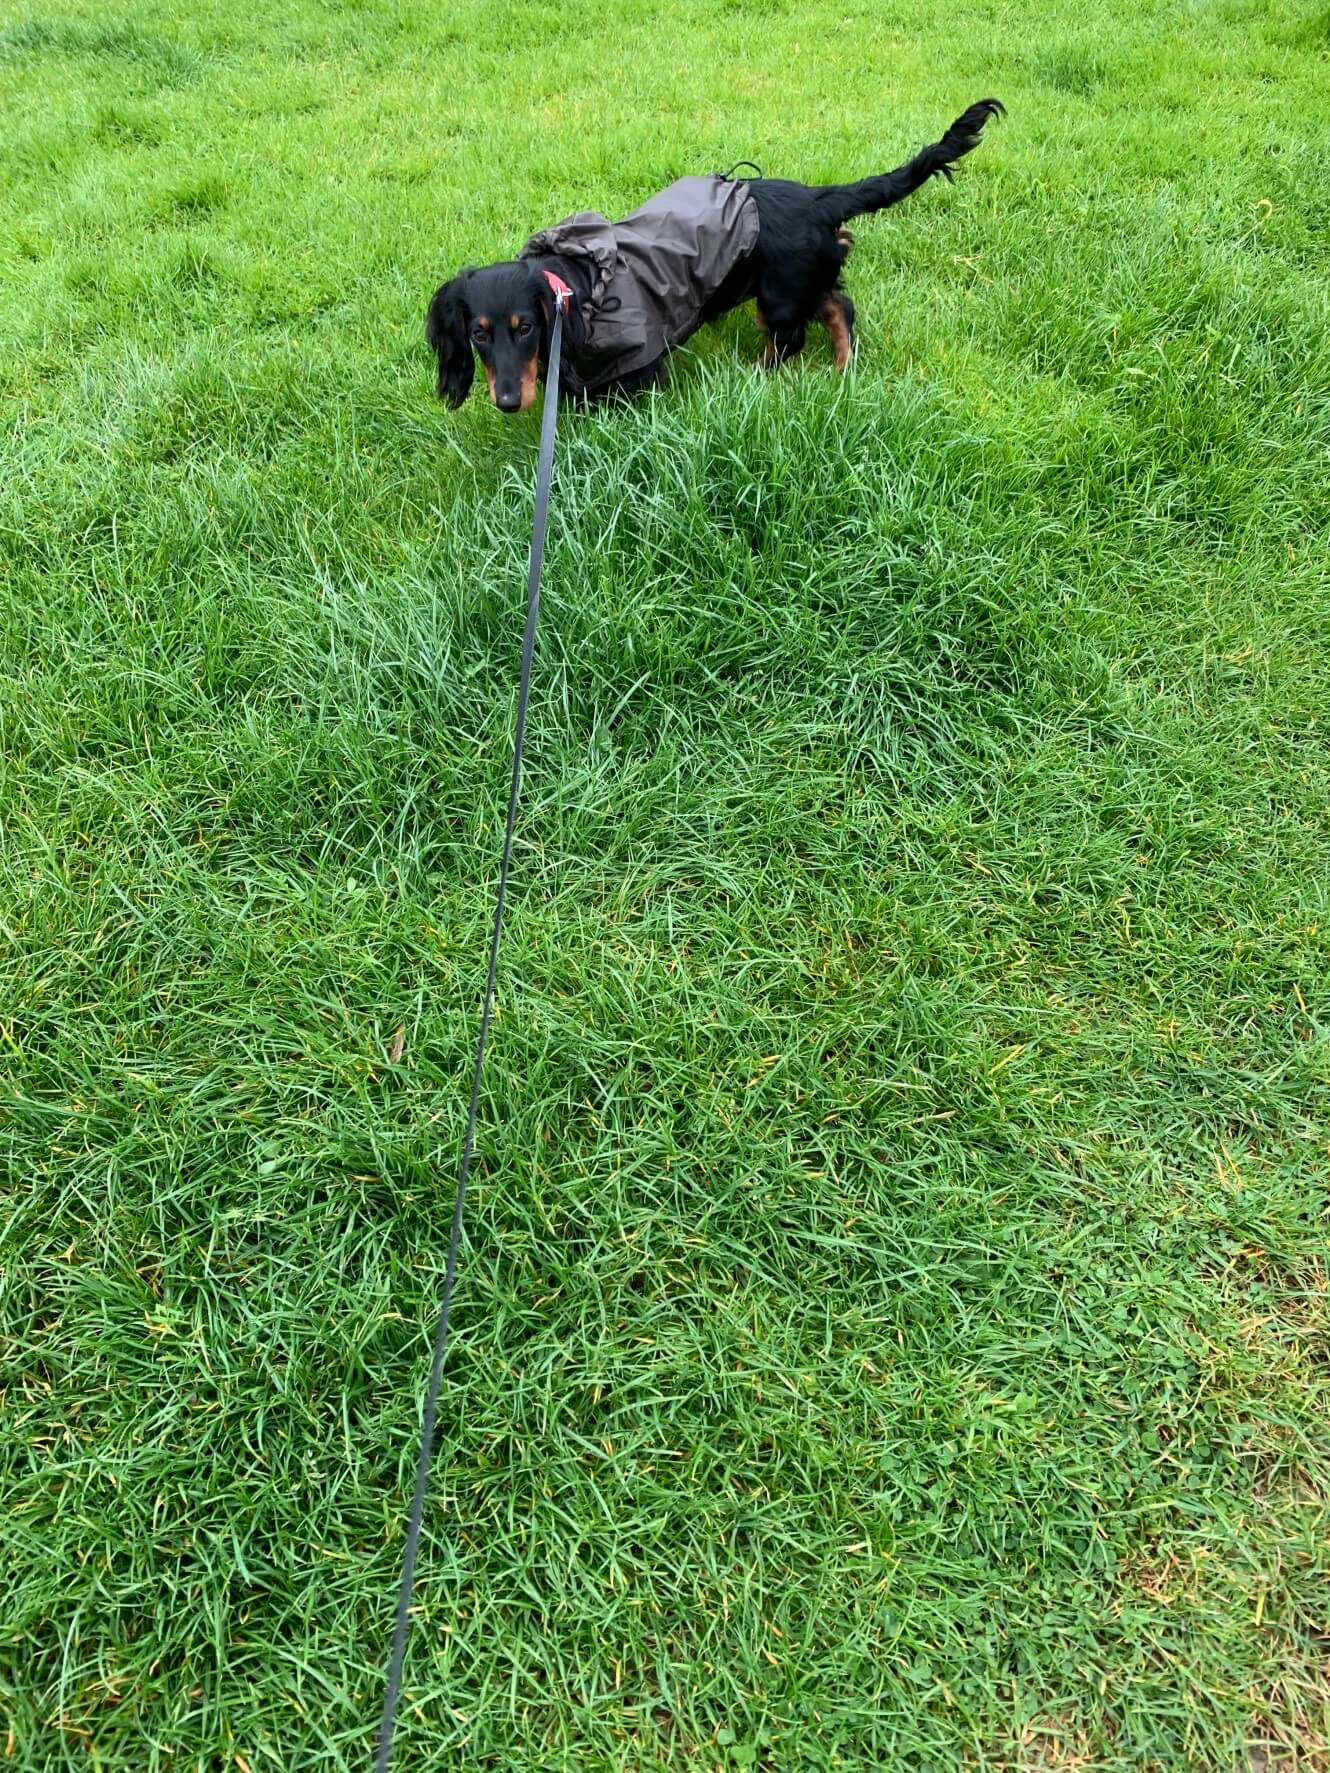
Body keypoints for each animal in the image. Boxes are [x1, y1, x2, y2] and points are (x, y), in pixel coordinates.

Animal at [432, 98, 1007, 413]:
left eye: (526, 327)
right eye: (479, 334)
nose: (508, 403)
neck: (578, 280)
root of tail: (818, 198)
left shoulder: (638, 363)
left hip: (777, 296)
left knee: (791, 337)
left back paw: (757, 374)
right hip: (798, 282)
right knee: (837, 307)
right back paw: (843, 371)